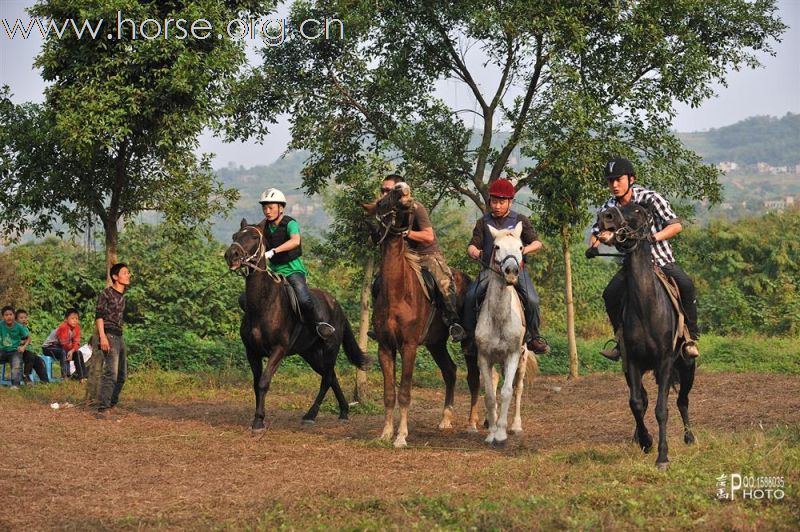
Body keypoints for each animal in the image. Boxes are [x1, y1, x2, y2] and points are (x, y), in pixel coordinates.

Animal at [220, 219, 368, 432]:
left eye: (255, 237)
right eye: (235, 236)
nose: (232, 255)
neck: (264, 304)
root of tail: (336, 305)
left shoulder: (278, 350)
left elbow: (264, 382)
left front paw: (259, 421)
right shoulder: (252, 352)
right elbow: (256, 384)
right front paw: (257, 417)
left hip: (330, 348)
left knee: (326, 379)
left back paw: (311, 415)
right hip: (309, 353)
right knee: (331, 376)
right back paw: (344, 411)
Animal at [364, 185, 482, 446]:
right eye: (382, 202)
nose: (403, 189)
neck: (398, 292)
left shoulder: (409, 346)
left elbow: (405, 392)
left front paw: (401, 436)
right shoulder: (385, 346)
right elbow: (389, 393)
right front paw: (385, 433)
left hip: (469, 341)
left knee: (474, 377)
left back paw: (472, 424)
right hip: (435, 343)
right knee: (450, 371)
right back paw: (445, 419)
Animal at [476, 220, 532, 444]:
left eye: (521, 247)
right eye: (497, 247)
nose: (511, 271)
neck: (499, 318)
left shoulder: (513, 355)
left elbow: (507, 391)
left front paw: (500, 433)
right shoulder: (484, 357)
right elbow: (490, 395)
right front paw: (491, 432)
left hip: (522, 359)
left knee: (518, 389)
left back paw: (515, 425)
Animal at [600, 203, 692, 470]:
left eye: (639, 211)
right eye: (614, 205)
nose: (605, 216)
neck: (646, 307)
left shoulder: (665, 362)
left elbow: (662, 409)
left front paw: (663, 456)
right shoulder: (632, 362)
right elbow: (636, 403)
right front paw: (646, 441)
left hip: (687, 366)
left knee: (682, 400)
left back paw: (690, 437)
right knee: (644, 398)